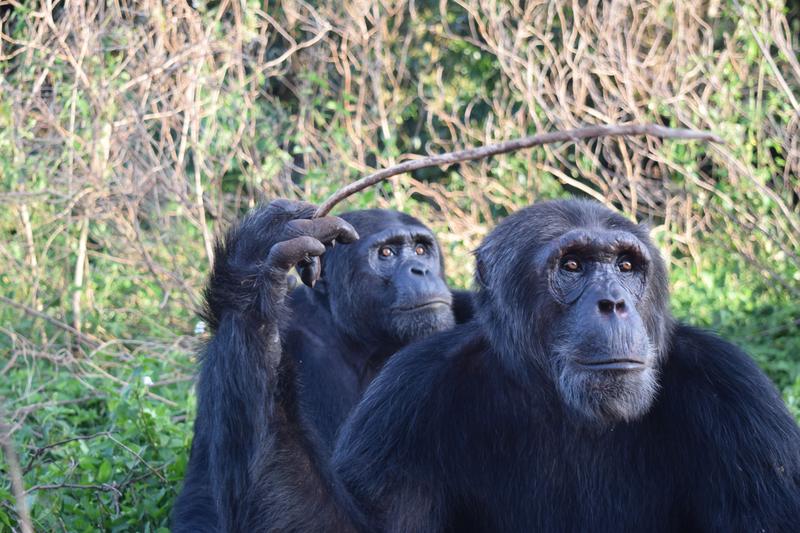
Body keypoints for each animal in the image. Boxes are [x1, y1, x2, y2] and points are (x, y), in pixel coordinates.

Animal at [172, 198, 472, 528]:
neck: (365, 343)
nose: (420, 270)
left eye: (420, 249)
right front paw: (252, 274)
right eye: (386, 253)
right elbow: (204, 496)